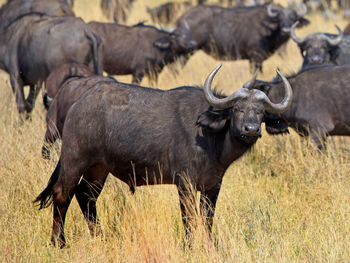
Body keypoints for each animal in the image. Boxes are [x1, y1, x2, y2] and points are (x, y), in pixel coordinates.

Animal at [33, 65, 292, 249]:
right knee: (62, 194)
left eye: (261, 112)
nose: (251, 130)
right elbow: (189, 218)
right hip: (74, 160)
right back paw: (58, 242)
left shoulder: (213, 186)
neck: (210, 138)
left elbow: (207, 218)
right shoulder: (185, 184)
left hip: (98, 168)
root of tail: (78, 103)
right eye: (237, 109)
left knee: (86, 197)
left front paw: (209, 247)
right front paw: (189, 247)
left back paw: (100, 237)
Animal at [176, 2, 308, 72]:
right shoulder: (255, 58)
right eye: (279, 19)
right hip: (187, 51)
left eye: (293, 18)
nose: (286, 31)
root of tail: (182, 18)